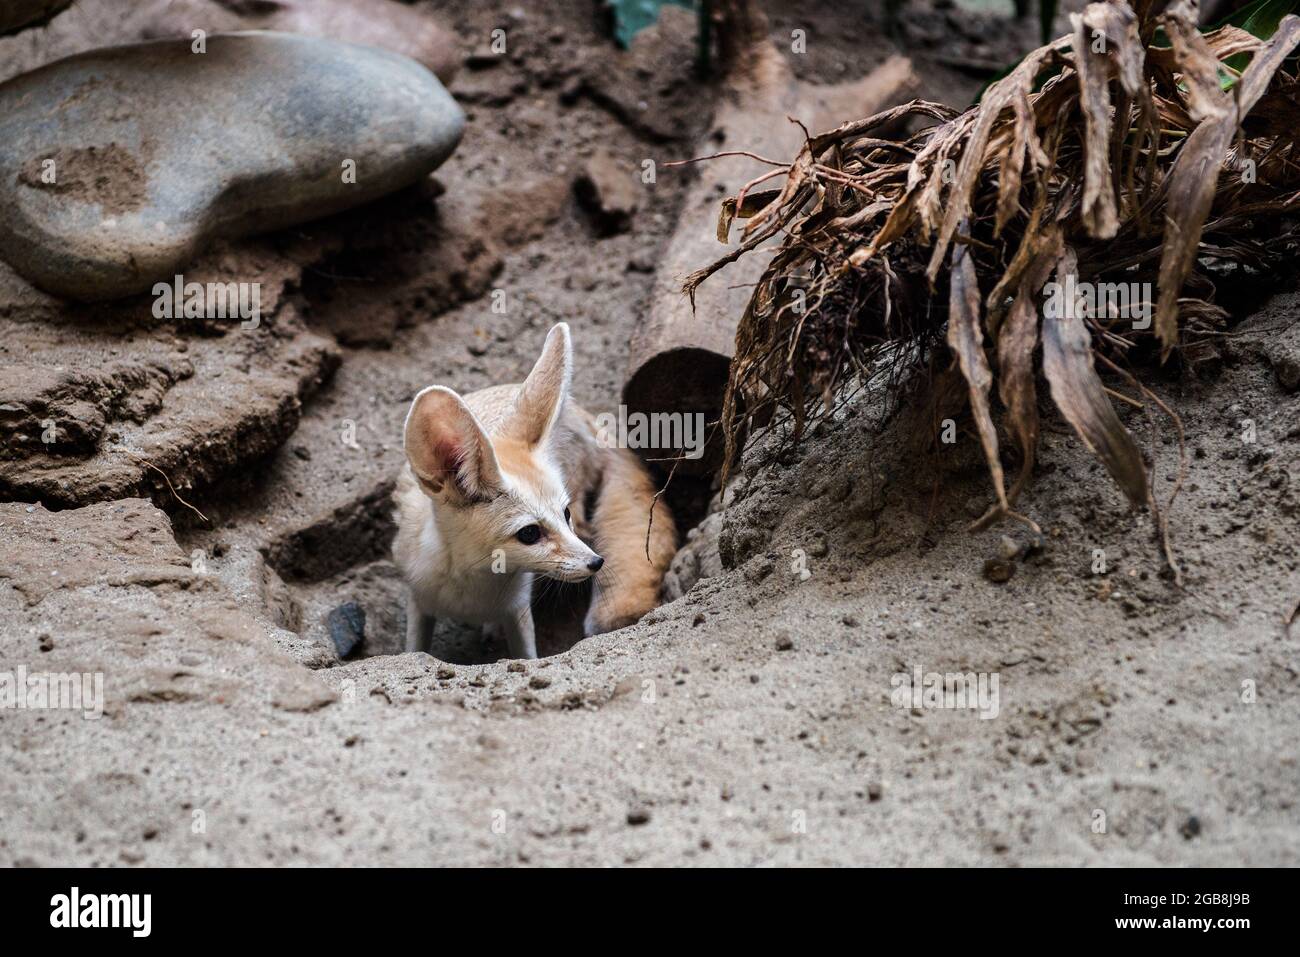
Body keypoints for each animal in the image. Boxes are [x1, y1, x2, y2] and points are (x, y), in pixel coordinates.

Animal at [392, 322, 678, 659]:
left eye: (564, 514)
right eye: (529, 533)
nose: (596, 563)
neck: (472, 587)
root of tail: (584, 416)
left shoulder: (517, 610)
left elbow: (527, 656)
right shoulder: (418, 600)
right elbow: (413, 649)